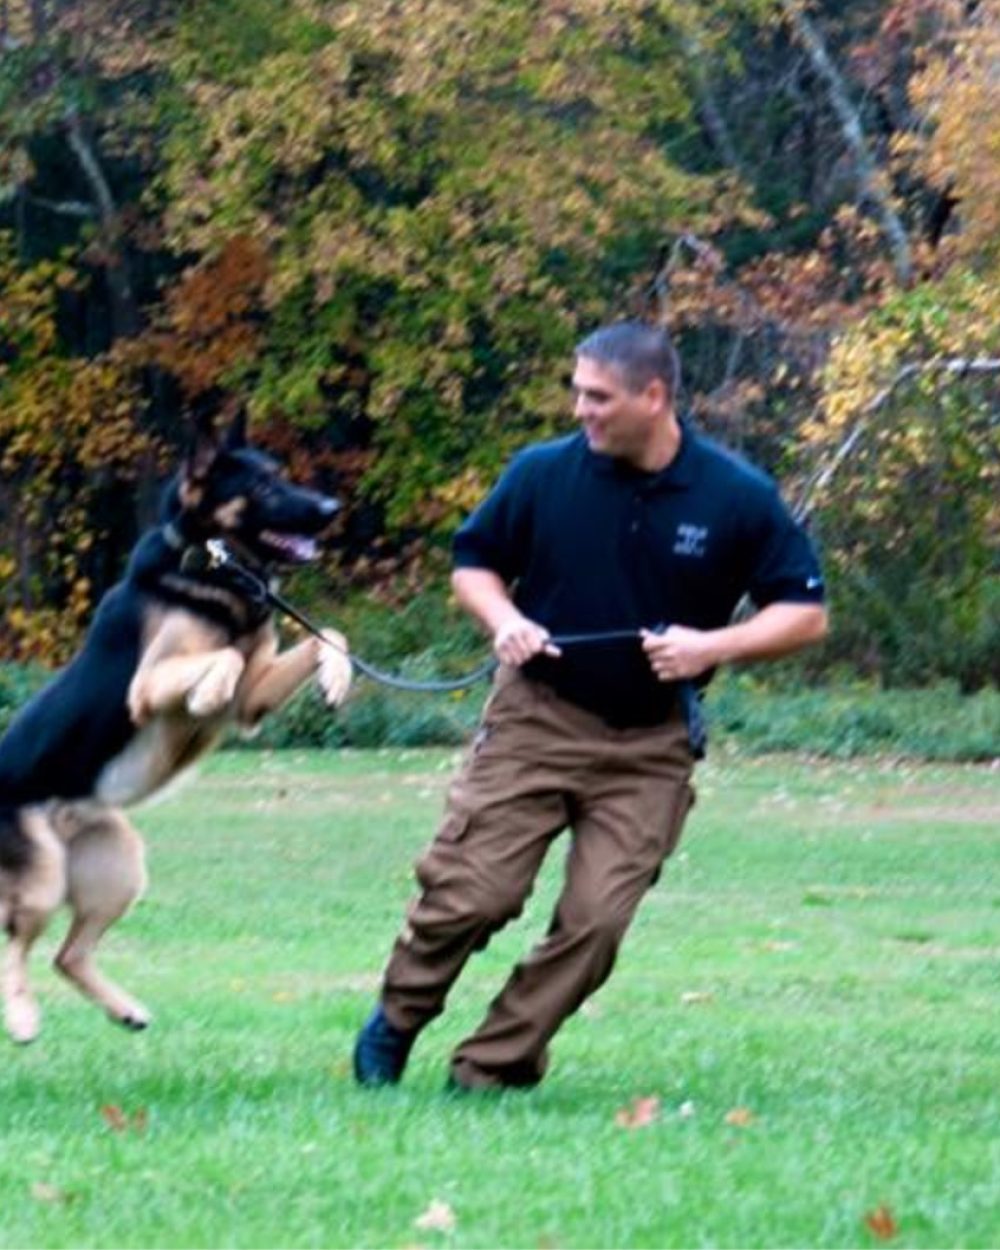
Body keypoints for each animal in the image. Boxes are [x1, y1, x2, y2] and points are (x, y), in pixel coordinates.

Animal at [0, 415, 352, 1040]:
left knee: (68, 955)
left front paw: (338, 677)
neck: (213, 565)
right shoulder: (147, 688)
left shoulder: (253, 702)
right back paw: (21, 1018)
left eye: (284, 475)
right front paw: (207, 689)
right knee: (19, 946)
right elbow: (224, 659)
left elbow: (329, 635)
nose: (332, 508)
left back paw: (125, 1010)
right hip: (41, 878)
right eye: (262, 487)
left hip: (118, 867)